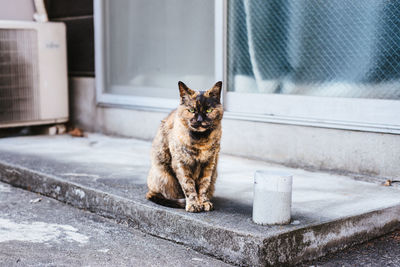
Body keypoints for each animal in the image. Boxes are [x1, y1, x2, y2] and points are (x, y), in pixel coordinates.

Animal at [146, 81, 223, 214]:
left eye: (208, 110)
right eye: (191, 110)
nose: (199, 120)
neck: (200, 141)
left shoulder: (209, 164)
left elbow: (204, 185)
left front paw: (204, 202)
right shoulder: (181, 163)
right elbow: (188, 186)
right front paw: (193, 204)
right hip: (164, 177)